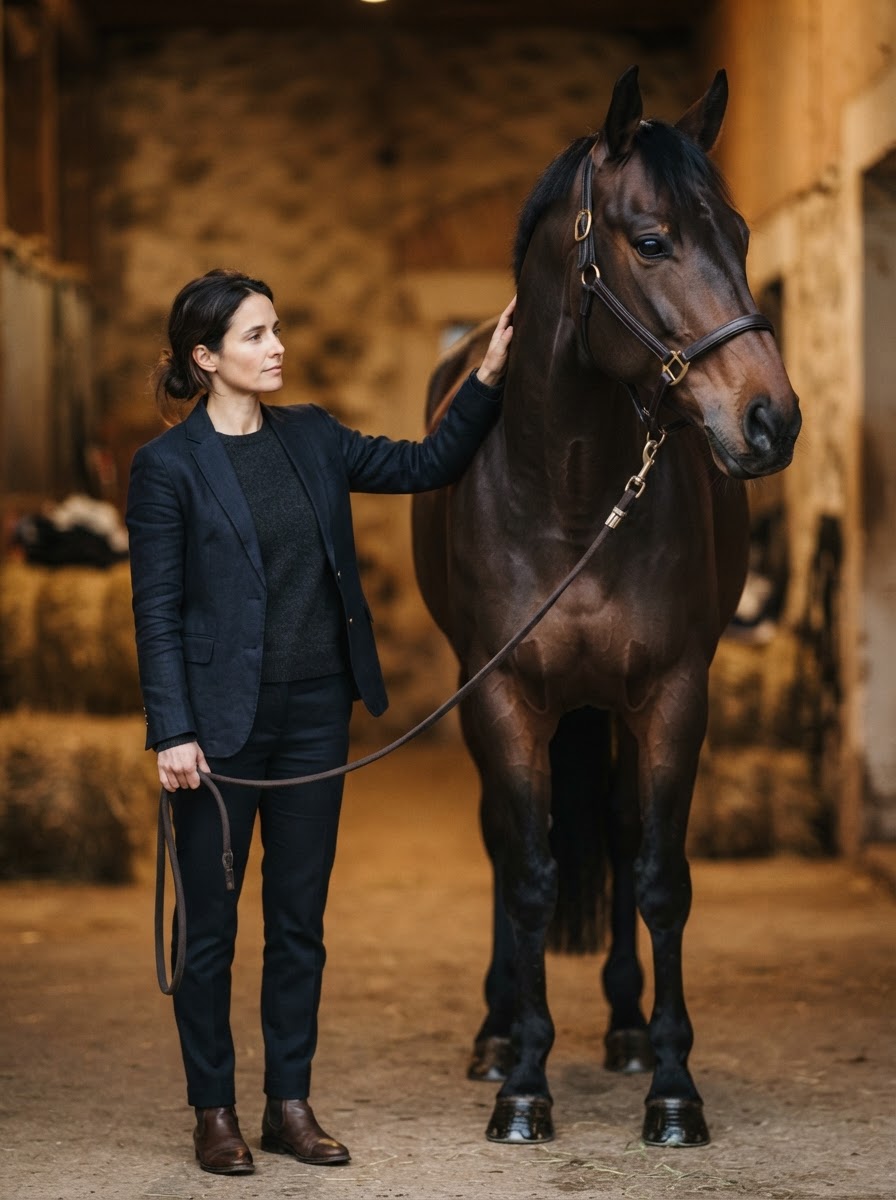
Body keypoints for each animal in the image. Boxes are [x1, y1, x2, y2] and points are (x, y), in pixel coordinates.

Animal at [411, 65, 801, 1149]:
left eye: (739, 233)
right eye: (652, 239)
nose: (772, 418)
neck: (574, 487)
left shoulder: (671, 694)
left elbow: (658, 874)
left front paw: (671, 1085)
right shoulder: (502, 699)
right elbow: (531, 873)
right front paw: (521, 1084)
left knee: (623, 837)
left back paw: (624, 1028)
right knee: (506, 845)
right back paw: (498, 1031)